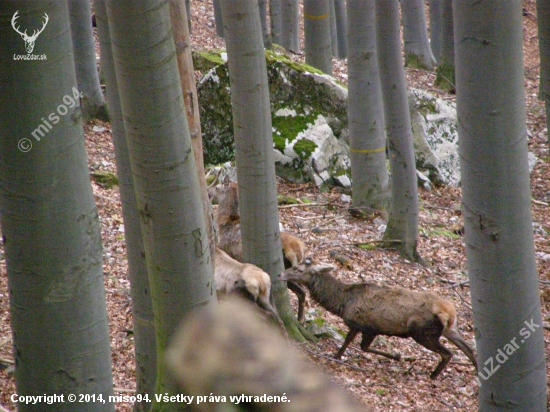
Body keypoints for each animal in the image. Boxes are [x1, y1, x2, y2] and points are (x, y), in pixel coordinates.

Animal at [280, 260, 478, 380]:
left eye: (298, 269)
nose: (281, 274)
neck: (343, 304)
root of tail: (449, 311)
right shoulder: (368, 328)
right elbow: (360, 345)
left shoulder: (362, 325)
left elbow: (355, 344)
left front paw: (336, 356)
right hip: (451, 329)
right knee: (469, 349)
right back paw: (477, 372)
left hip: (424, 332)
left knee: (448, 353)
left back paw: (433, 376)